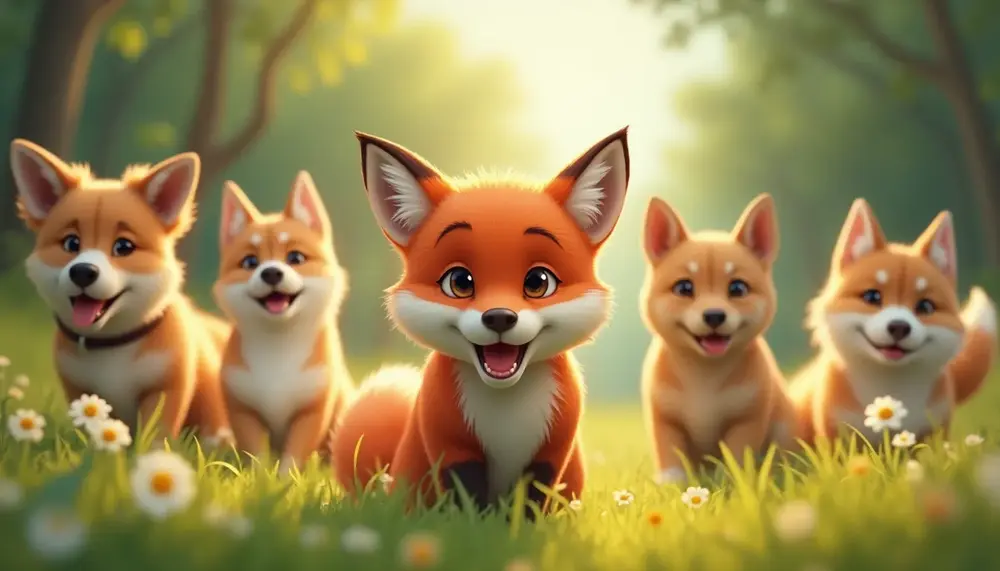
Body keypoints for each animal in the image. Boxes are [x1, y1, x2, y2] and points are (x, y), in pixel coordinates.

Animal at [11, 139, 231, 443]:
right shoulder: (79, 390)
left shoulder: (166, 387)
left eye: (123, 247)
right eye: (71, 243)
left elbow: (154, 437)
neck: (113, 346)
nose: (83, 271)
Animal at [213, 172, 353, 475]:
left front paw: (286, 479)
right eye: (250, 262)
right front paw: (259, 478)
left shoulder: (312, 411)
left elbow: (294, 456)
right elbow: (256, 454)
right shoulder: (244, 411)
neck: (279, 346)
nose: (271, 272)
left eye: (295, 258)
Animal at [330, 128, 632, 515]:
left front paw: (521, 526)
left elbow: (530, 502)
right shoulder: (452, 446)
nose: (499, 317)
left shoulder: (551, 452)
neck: (506, 412)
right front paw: (476, 527)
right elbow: (469, 502)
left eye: (538, 282)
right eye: (460, 282)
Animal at [639, 193, 796, 484]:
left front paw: (731, 484)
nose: (714, 315)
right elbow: (671, 460)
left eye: (737, 288)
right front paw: (671, 485)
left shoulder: (746, 419)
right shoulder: (665, 420)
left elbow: (736, 458)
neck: (704, 377)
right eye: (684, 288)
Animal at [790, 198, 997, 444]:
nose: (899, 327)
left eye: (925, 306)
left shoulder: (933, 429)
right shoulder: (837, 432)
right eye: (872, 297)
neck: (890, 389)